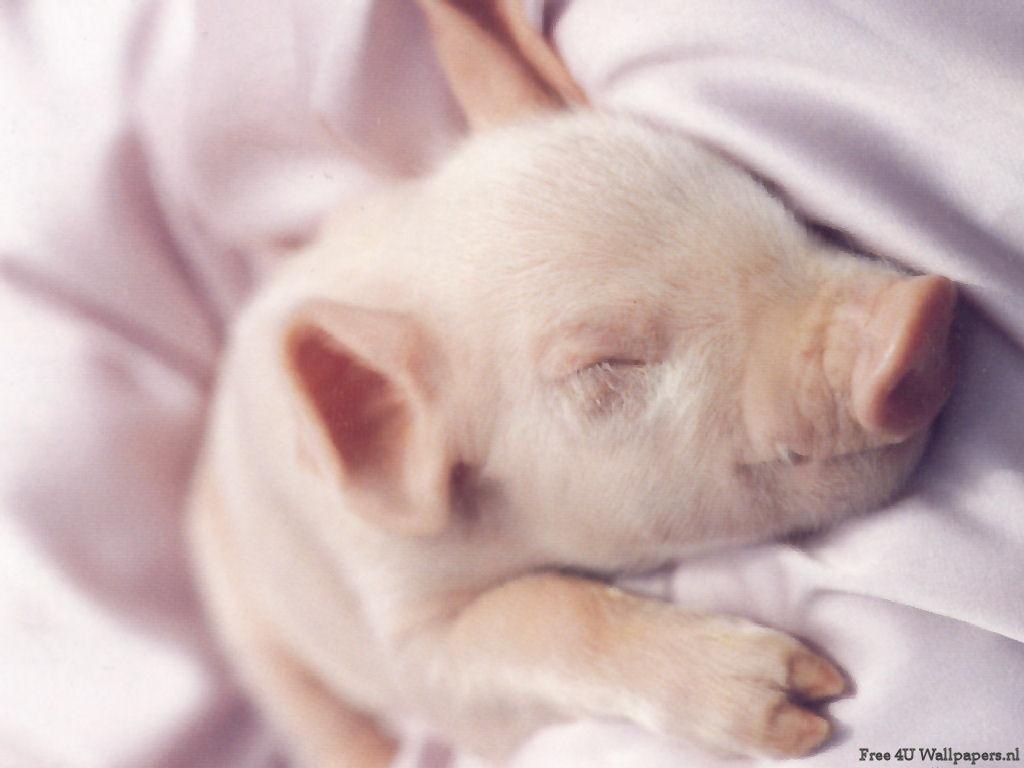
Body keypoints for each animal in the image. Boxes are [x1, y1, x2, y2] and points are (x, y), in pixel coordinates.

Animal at [187, 1, 958, 766]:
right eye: (606, 363)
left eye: (751, 193)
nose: (916, 316)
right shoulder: (395, 612)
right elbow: (534, 618)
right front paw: (808, 701)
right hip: (246, 615)